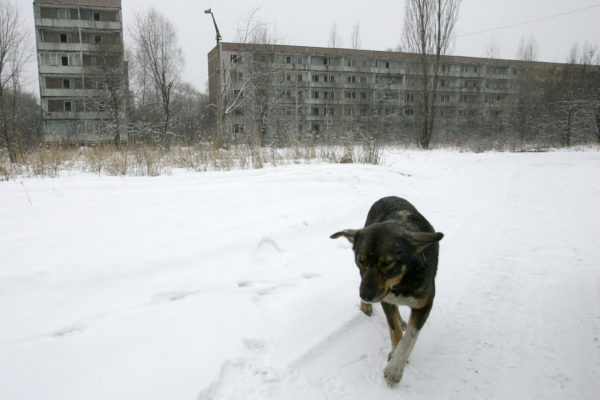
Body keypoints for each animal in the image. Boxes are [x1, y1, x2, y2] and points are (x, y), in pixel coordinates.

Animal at [330, 195, 442, 386]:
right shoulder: (385, 298)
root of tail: (388, 196)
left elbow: (409, 338)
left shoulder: (425, 303)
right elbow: (394, 329)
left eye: (388, 262)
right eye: (360, 260)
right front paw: (395, 353)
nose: (366, 296)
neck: (402, 281)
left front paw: (395, 368)